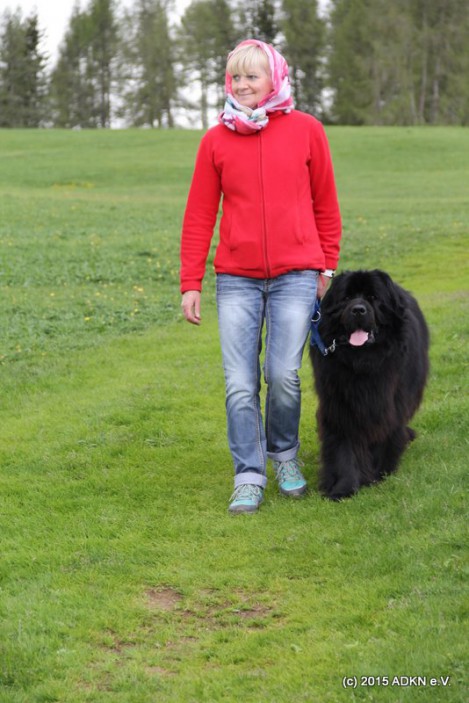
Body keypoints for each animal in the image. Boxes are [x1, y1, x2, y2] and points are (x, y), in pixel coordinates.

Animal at [310, 269, 429, 500]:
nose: (358, 309)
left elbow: (384, 431)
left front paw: (378, 473)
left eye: (373, 298)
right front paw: (343, 487)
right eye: (347, 298)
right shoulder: (339, 403)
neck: (363, 361)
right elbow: (343, 446)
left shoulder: (389, 402)